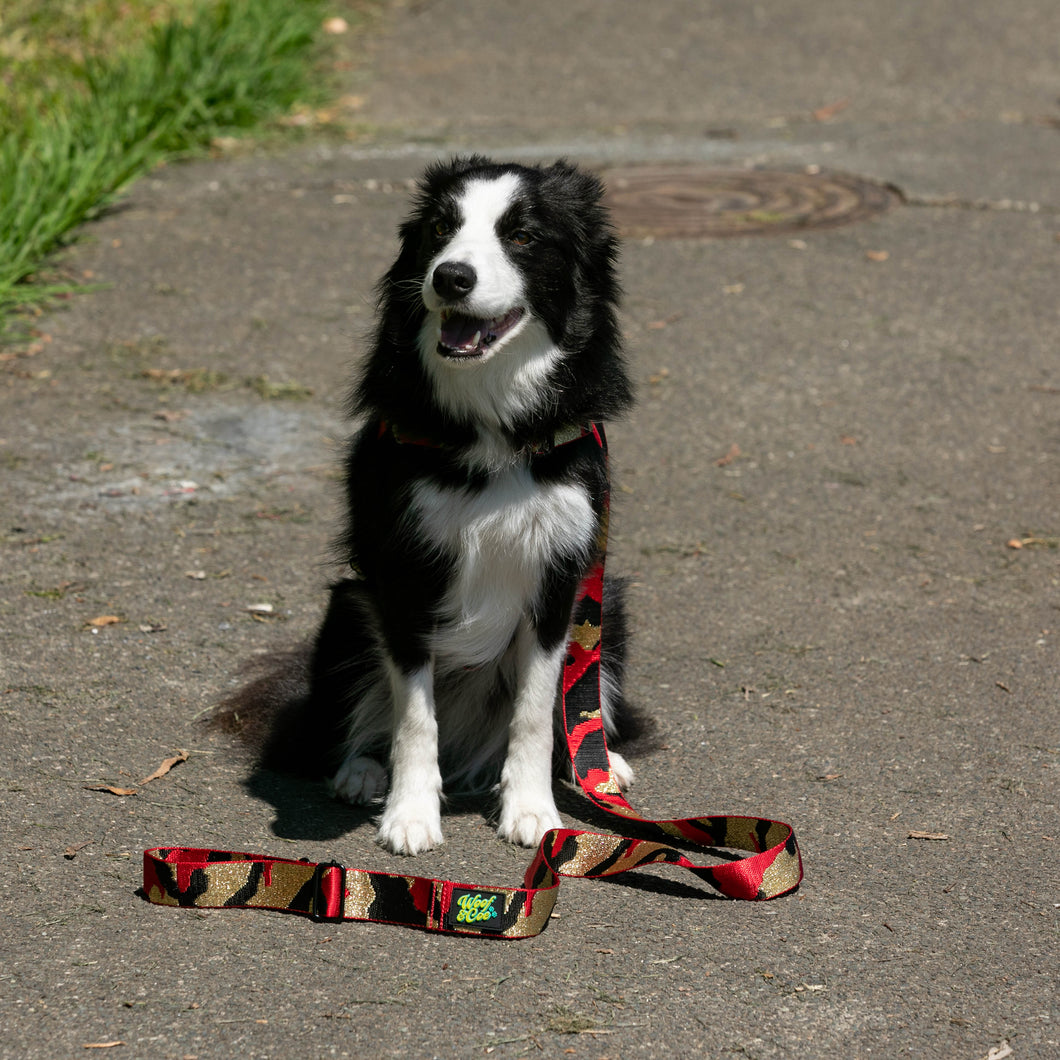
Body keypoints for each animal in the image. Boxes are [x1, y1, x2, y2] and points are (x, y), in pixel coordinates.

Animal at [221, 154, 635, 852]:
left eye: (522, 235)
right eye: (442, 227)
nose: (450, 277)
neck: (493, 421)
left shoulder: (559, 575)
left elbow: (535, 708)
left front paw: (532, 811)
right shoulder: (406, 573)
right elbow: (415, 713)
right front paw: (411, 816)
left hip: (610, 609)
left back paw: (604, 764)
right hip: (349, 609)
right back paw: (360, 772)